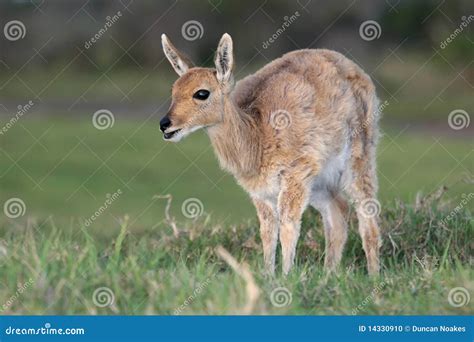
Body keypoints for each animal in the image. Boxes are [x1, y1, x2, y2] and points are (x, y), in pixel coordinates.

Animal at [159, 32, 382, 276]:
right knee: (338, 211)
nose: (165, 124)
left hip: (360, 158)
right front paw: (268, 275)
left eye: (202, 93)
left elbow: (288, 227)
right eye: (173, 91)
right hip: (319, 182)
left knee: (368, 216)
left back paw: (373, 277)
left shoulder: (295, 174)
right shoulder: (261, 192)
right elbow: (267, 231)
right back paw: (328, 274)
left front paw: (287, 277)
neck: (257, 140)